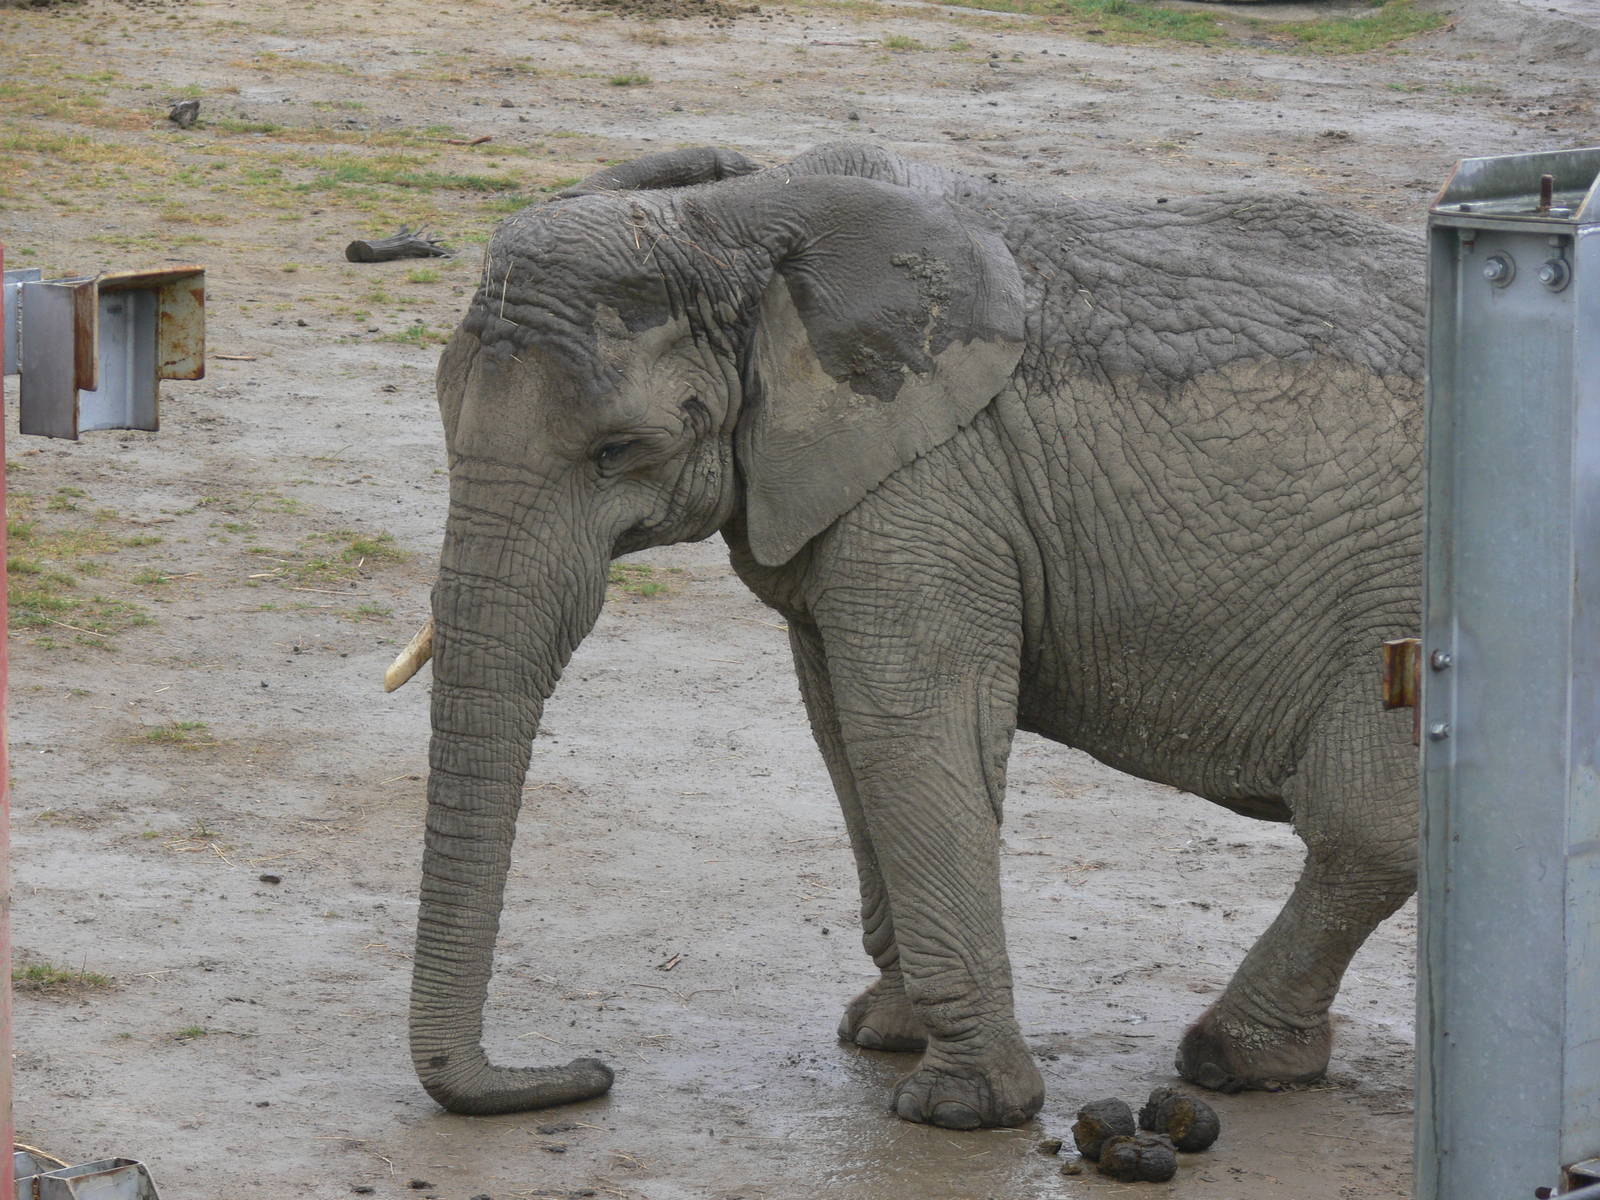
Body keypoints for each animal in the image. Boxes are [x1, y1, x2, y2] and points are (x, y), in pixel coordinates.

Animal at [394, 141, 1424, 1130]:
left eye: (619, 450)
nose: (591, 1072)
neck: (739, 220)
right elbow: (840, 732)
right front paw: (885, 1035)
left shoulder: (934, 484)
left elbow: (908, 729)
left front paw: (959, 1110)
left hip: (1399, 594)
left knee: (1365, 830)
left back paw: (1225, 1059)